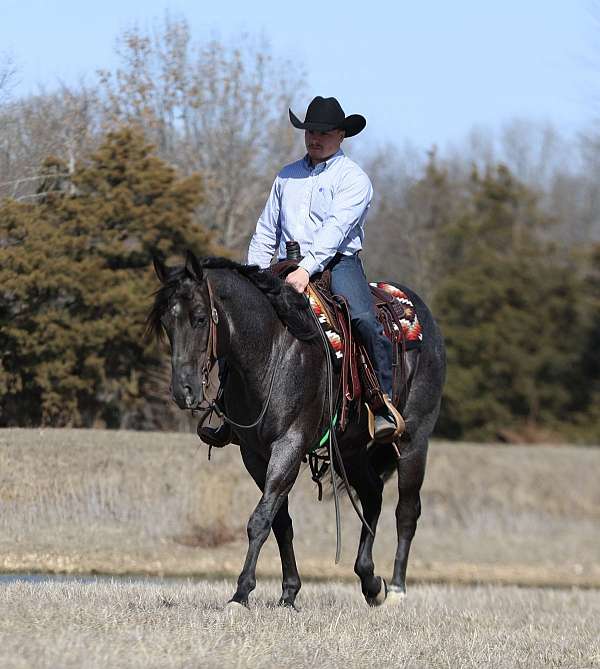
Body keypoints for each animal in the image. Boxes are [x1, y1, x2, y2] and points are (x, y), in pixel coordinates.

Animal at [146, 252, 446, 612]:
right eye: (166, 322)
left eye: (201, 318)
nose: (183, 390)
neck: (272, 350)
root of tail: (421, 315)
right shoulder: (255, 454)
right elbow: (279, 522)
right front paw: (289, 592)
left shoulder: (290, 443)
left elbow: (260, 519)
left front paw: (241, 593)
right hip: (352, 449)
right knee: (372, 494)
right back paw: (371, 583)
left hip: (415, 438)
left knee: (407, 511)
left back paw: (397, 590)